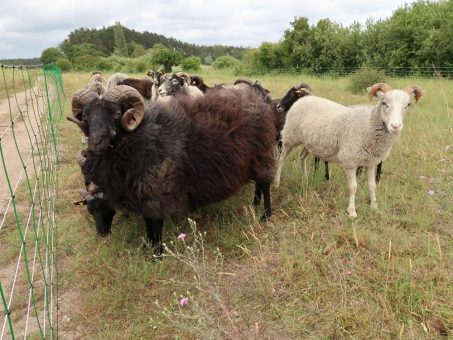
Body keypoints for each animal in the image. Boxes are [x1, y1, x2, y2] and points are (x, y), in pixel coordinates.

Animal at [274, 83, 422, 219]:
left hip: (310, 142)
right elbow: (353, 187)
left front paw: (374, 207)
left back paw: (305, 180)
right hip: (290, 137)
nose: (395, 126)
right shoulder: (350, 162)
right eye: (384, 103)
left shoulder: (371, 163)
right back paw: (276, 183)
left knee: (302, 156)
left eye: (408, 105)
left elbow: (372, 185)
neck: (367, 124)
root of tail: (303, 100)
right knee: (281, 158)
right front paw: (352, 212)